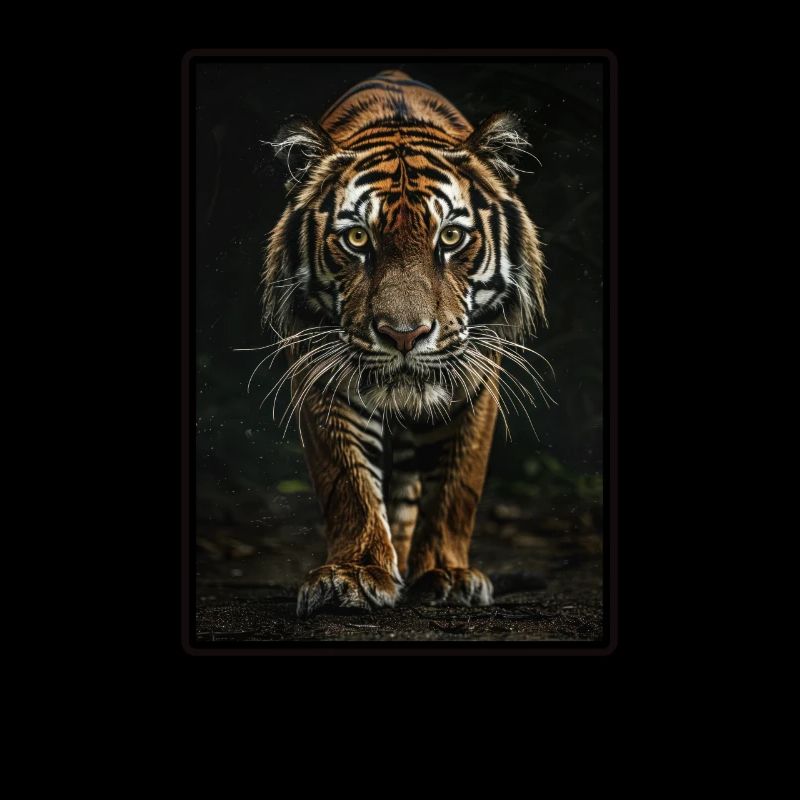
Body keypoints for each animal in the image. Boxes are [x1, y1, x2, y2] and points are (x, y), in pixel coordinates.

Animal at [260, 69, 547, 618]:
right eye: (356, 240)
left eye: (451, 237)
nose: (404, 334)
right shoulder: (321, 368)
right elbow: (347, 479)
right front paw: (353, 575)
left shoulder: (477, 373)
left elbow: (456, 485)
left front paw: (447, 575)